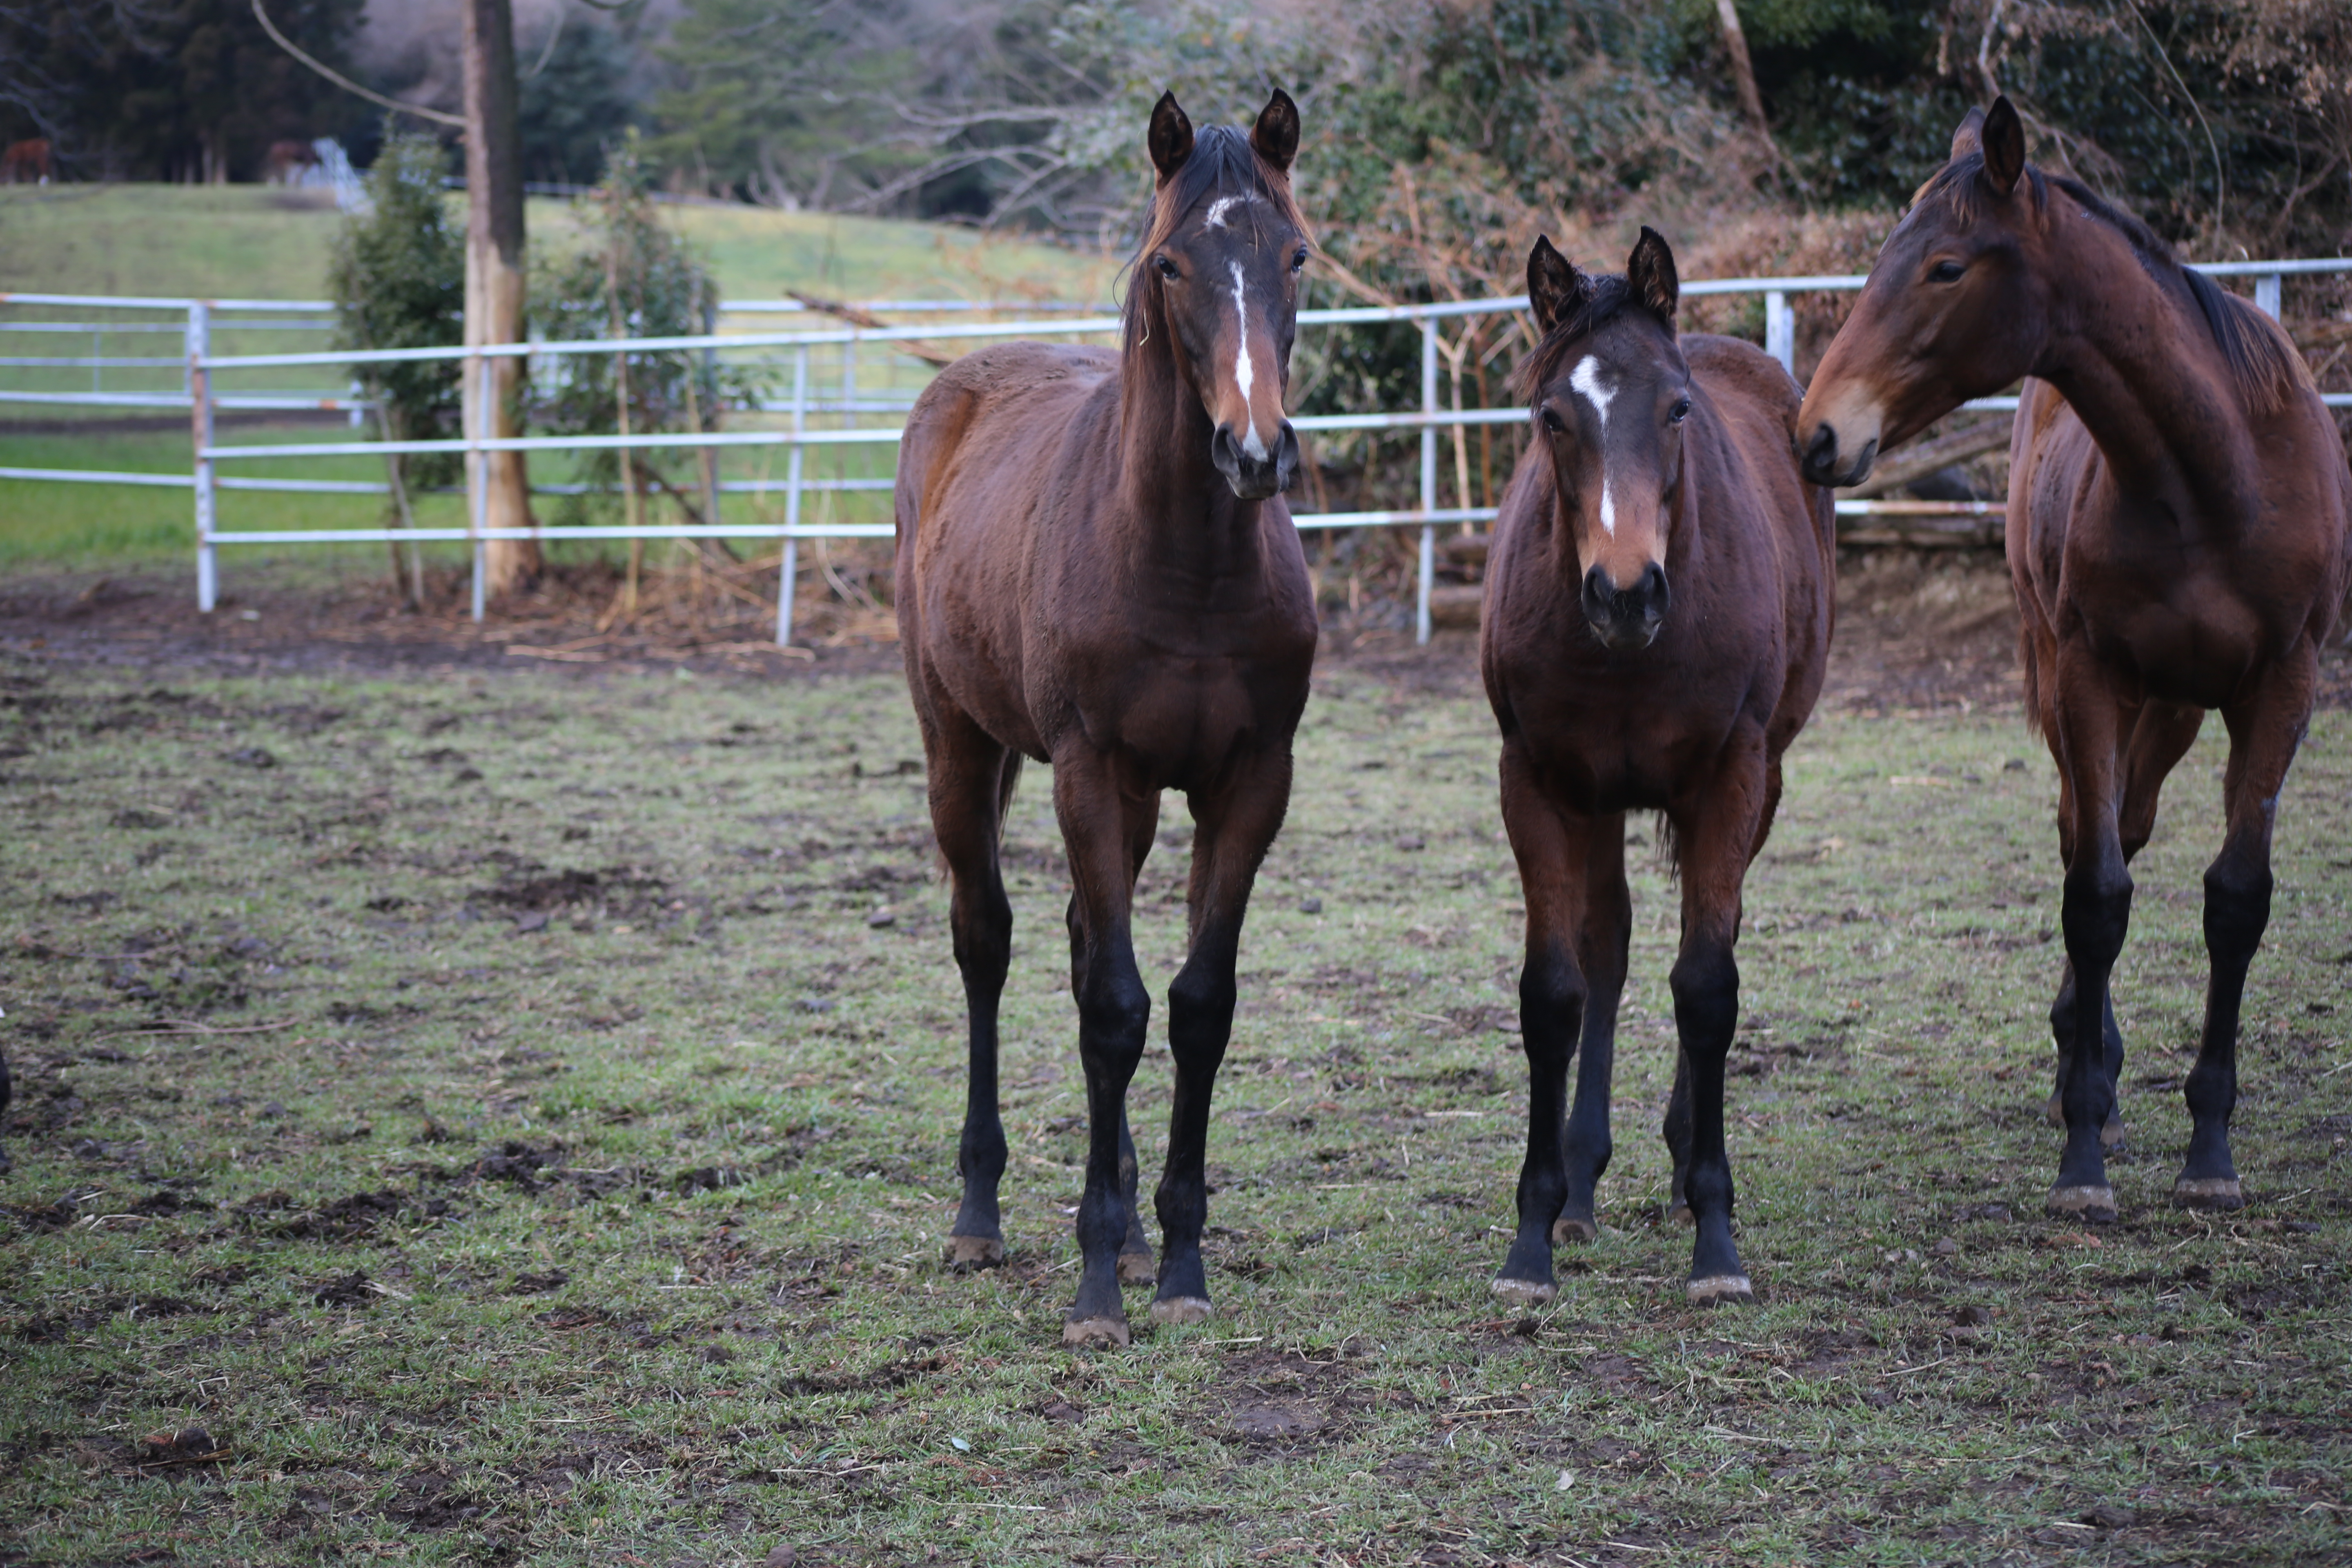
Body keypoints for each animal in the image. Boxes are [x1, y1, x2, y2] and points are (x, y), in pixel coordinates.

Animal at [889, 92, 1326, 1345]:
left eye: (1294, 255)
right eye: (1170, 264)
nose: (1255, 451)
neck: (1185, 565)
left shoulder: (1248, 783)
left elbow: (1192, 1006)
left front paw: (1172, 1261)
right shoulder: (1090, 769)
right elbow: (1111, 1012)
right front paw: (1093, 1288)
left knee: (1090, 940)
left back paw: (1129, 1229)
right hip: (962, 744)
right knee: (986, 940)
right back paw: (979, 1218)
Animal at [1486, 236, 1834, 1316]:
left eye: (1677, 410)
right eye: (1552, 418)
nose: (1625, 592)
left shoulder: (1730, 780)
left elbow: (1707, 987)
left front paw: (1716, 1233)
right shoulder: (1539, 782)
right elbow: (1554, 992)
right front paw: (1532, 1235)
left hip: (1762, 784)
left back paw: (1682, 1172)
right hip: (1596, 803)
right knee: (1608, 949)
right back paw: (1581, 1182)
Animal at [1787, 98, 2342, 1222]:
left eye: (1945, 267)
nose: (1817, 433)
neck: (2214, 472)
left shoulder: (2283, 688)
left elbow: (2235, 898)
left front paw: (2209, 1148)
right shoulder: (2088, 679)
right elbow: (2092, 897)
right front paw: (2084, 1146)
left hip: (2173, 709)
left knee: (2126, 825)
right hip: (2071, 684)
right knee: (2090, 836)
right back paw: (2086, 1066)